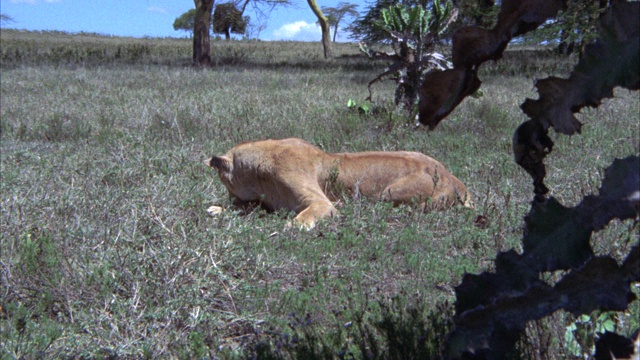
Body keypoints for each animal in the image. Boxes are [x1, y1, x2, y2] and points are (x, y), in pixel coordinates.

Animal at [205, 137, 470, 228]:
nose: (228, 199)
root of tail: (454, 178)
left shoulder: (323, 204)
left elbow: (301, 218)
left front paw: (288, 226)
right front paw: (217, 209)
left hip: (390, 192)